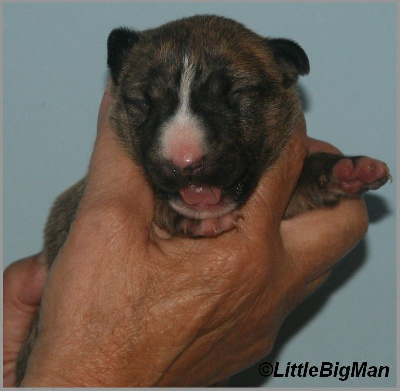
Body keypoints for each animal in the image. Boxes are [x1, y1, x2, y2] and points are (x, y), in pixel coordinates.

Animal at [15, 14, 390, 386]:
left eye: (236, 94)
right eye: (143, 102)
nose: (184, 161)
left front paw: (345, 169)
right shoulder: (73, 206)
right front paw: (187, 219)